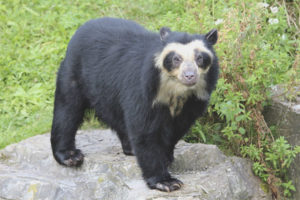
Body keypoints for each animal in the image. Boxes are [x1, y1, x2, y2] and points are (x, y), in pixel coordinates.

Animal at [51, 17, 218, 192]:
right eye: (175, 59)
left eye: (200, 58)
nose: (189, 76)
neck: (177, 91)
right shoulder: (143, 89)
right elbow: (144, 131)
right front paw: (166, 182)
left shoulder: (194, 101)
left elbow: (177, 129)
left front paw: (167, 157)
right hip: (74, 73)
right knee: (67, 110)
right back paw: (70, 155)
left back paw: (130, 148)